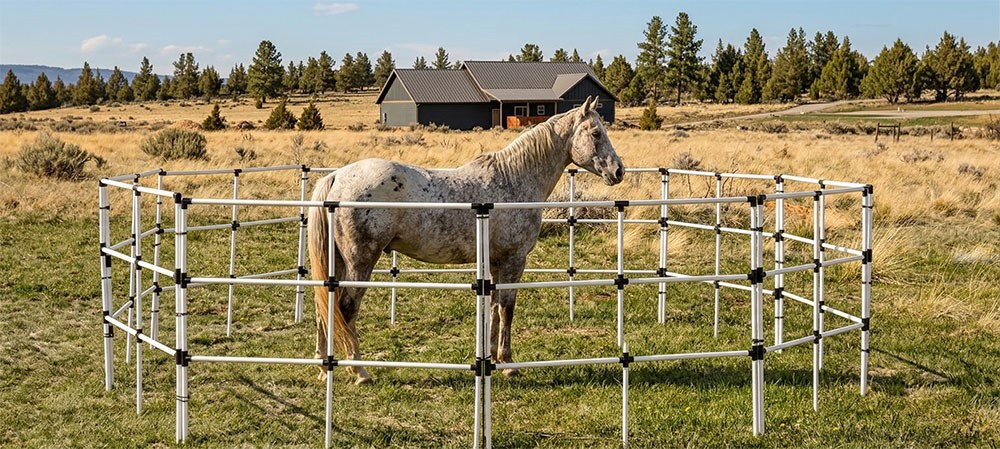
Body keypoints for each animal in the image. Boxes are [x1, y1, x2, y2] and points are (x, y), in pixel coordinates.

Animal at [308, 96, 624, 384]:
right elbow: (507, 308)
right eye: (596, 133)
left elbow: (495, 308)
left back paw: (324, 366)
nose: (618, 170)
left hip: (338, 262)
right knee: (346, 308)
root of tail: (337, 176)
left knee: (325, 305)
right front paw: (509, 363)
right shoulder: (514, 261)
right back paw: (359, 371)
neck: (514, 180)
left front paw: (494, 358)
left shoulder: (496, 263)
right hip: (360, 262)